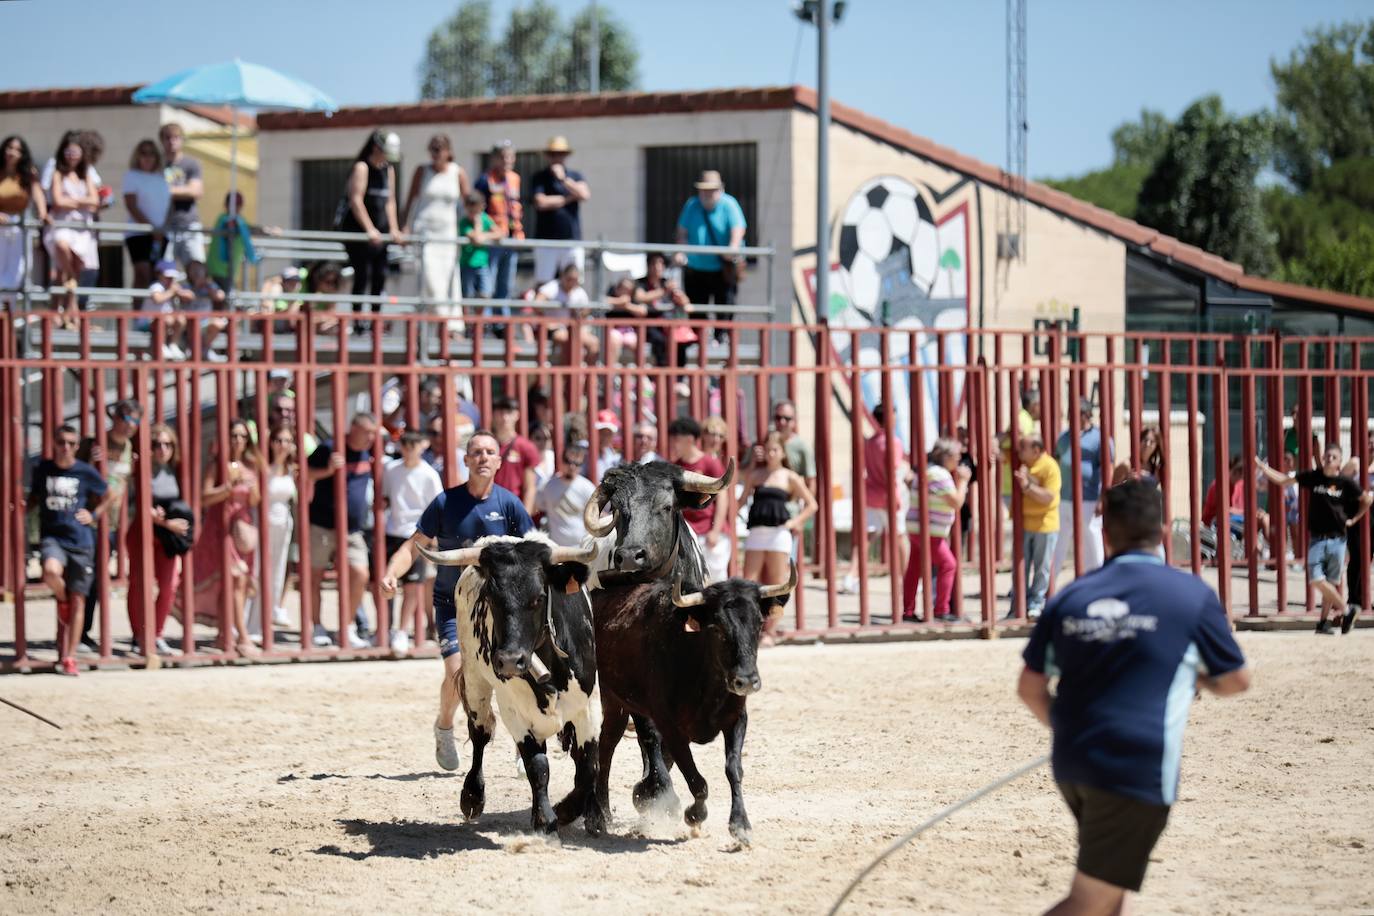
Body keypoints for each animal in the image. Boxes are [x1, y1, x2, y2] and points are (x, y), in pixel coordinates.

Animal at [414, 530, 604, 840]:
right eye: (491, 598)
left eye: (539, 597)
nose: (509, 661)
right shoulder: (515, 712)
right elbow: (537, 766)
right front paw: (546, 819)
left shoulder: (589, 707)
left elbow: (588, 767)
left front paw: (587, 815)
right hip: (474, 677)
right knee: (480, 733)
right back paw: (472, 796)